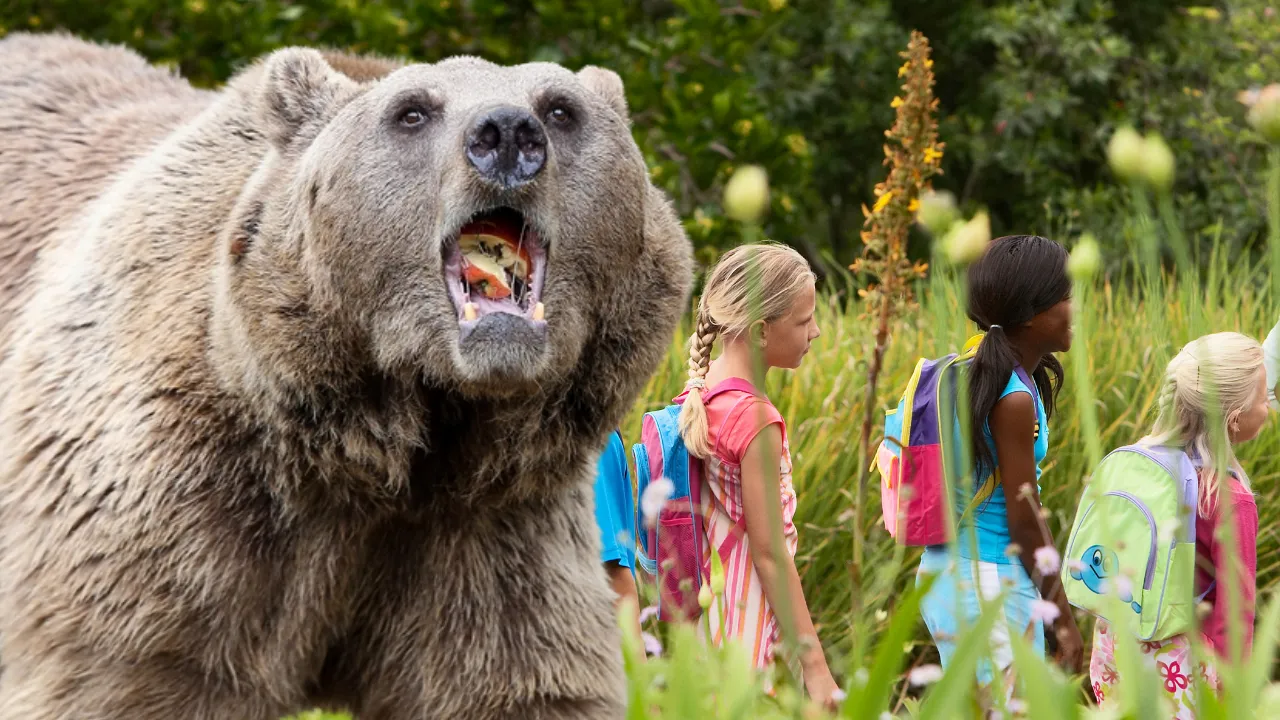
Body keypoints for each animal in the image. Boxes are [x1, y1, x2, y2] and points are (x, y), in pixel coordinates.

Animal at [0, 31, 693, 720]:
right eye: (411, 111)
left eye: (560, 108)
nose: (506, 133)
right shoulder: (189, 493)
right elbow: (138, 669)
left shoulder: (497, 527)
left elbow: (513, 677)